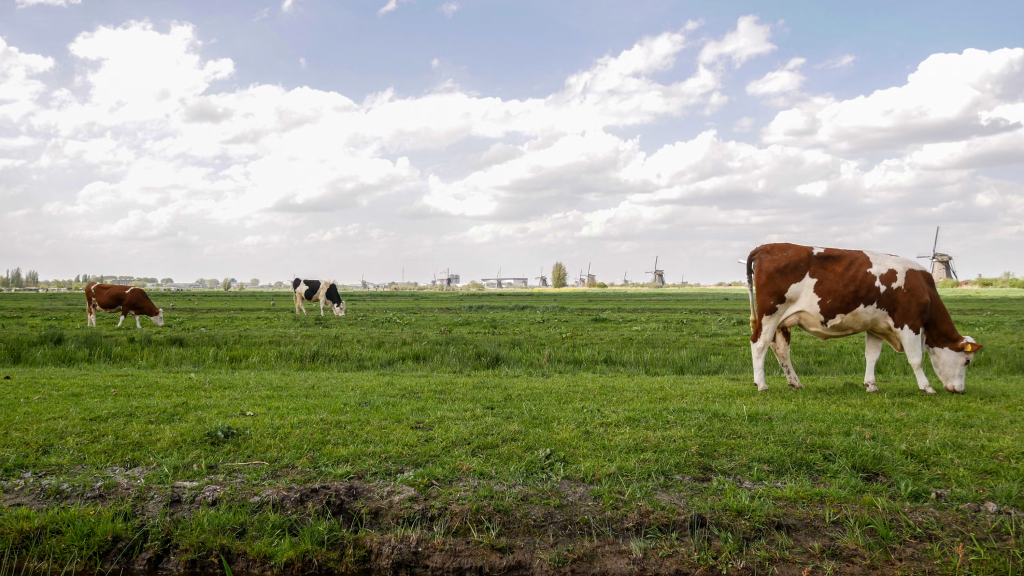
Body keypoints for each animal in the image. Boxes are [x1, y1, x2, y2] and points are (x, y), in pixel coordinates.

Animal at [746, 244, 982, 394]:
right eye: (967, 361)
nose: (960, 390)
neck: (923, 287)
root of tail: (767, 247)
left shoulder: (876, 327)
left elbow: (872, 357)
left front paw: (871, 385)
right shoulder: (910, 323)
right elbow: (916, 359)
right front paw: (926, 387)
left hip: (783, 322)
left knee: (781, 350)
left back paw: (795, 383)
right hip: (770, 315)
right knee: (759, 344)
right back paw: (761, 384)